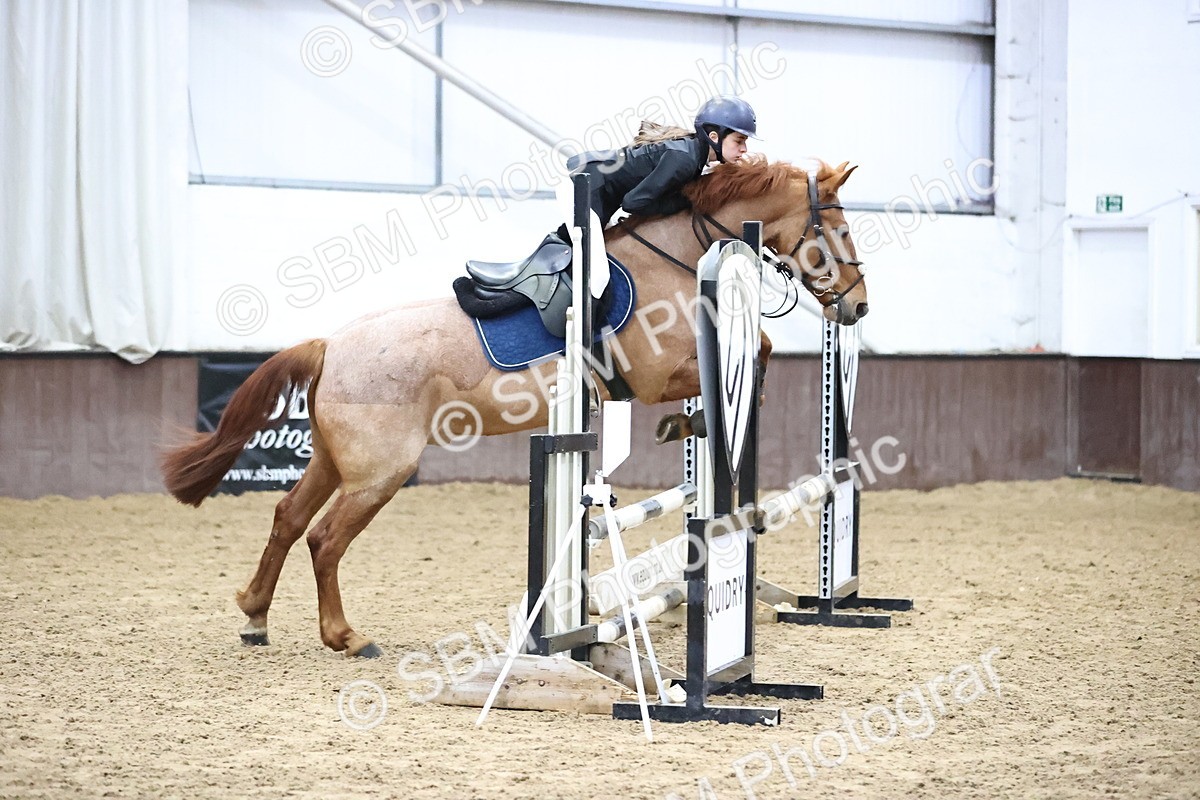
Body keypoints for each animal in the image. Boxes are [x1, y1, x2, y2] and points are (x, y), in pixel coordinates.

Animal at [161, 157, 868, 658]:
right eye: (837, 230)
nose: (858, 307)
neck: (674, 251)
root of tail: (330, 344)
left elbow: (755, 352)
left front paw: (698, 418)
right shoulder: (651, 375)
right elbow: (758, 351)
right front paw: (689, 418)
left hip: (336, 462)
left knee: (286, 518)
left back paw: (254, 614)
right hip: (380, 470)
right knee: (324, 538)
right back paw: (346, 637)